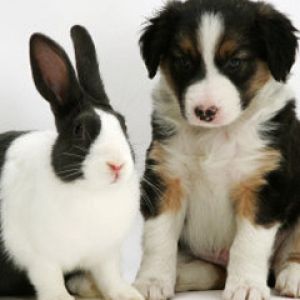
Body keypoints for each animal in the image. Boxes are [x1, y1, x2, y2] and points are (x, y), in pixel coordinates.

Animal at [0, 25, 144, 300]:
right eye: (79, 130)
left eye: (123, 123)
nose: (117, 165)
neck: (91, 192)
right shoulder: (42, 259)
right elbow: (51, 282)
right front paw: (62, 297)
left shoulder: (105, 254)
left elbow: (110, 277)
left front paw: (128, 294)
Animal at [134, 0, 300, 300]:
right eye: (184, 61)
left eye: (235, 61)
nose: (205, 111)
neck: (214, 137)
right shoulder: (166, 177)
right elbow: (157, 237)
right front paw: (151, 281)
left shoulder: (264, 185)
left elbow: (249, 243)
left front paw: (246, 286)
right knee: (211, 272)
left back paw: (293, 276)